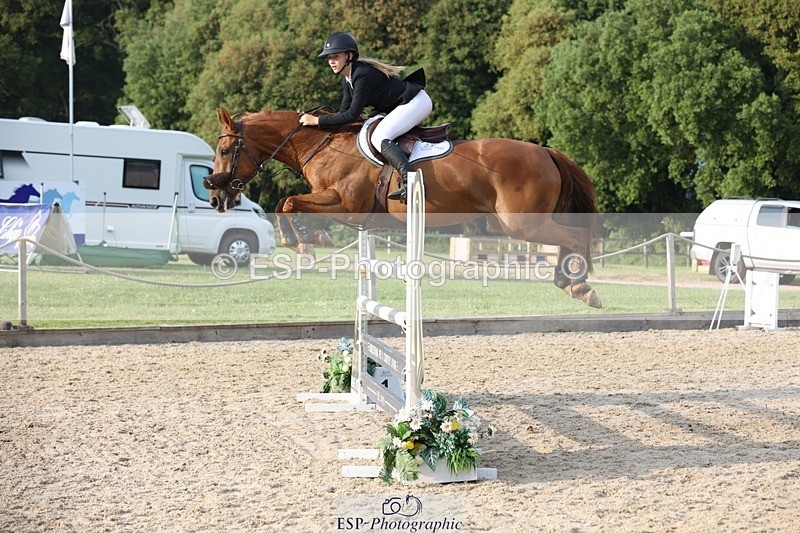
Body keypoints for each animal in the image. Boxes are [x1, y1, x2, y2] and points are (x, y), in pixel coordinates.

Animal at [205, 107, 603, 308]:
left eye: (224, 150)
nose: (215, 197)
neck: (322, 144)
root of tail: (546, 152)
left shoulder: (347, 204)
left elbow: (287, 202)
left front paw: (305, 241)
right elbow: (285, 202)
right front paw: (306, 239)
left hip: (521, 224)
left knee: (576, 235)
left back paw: (581, 286)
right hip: (514, 224)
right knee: (570, 237)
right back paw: (571, 284)